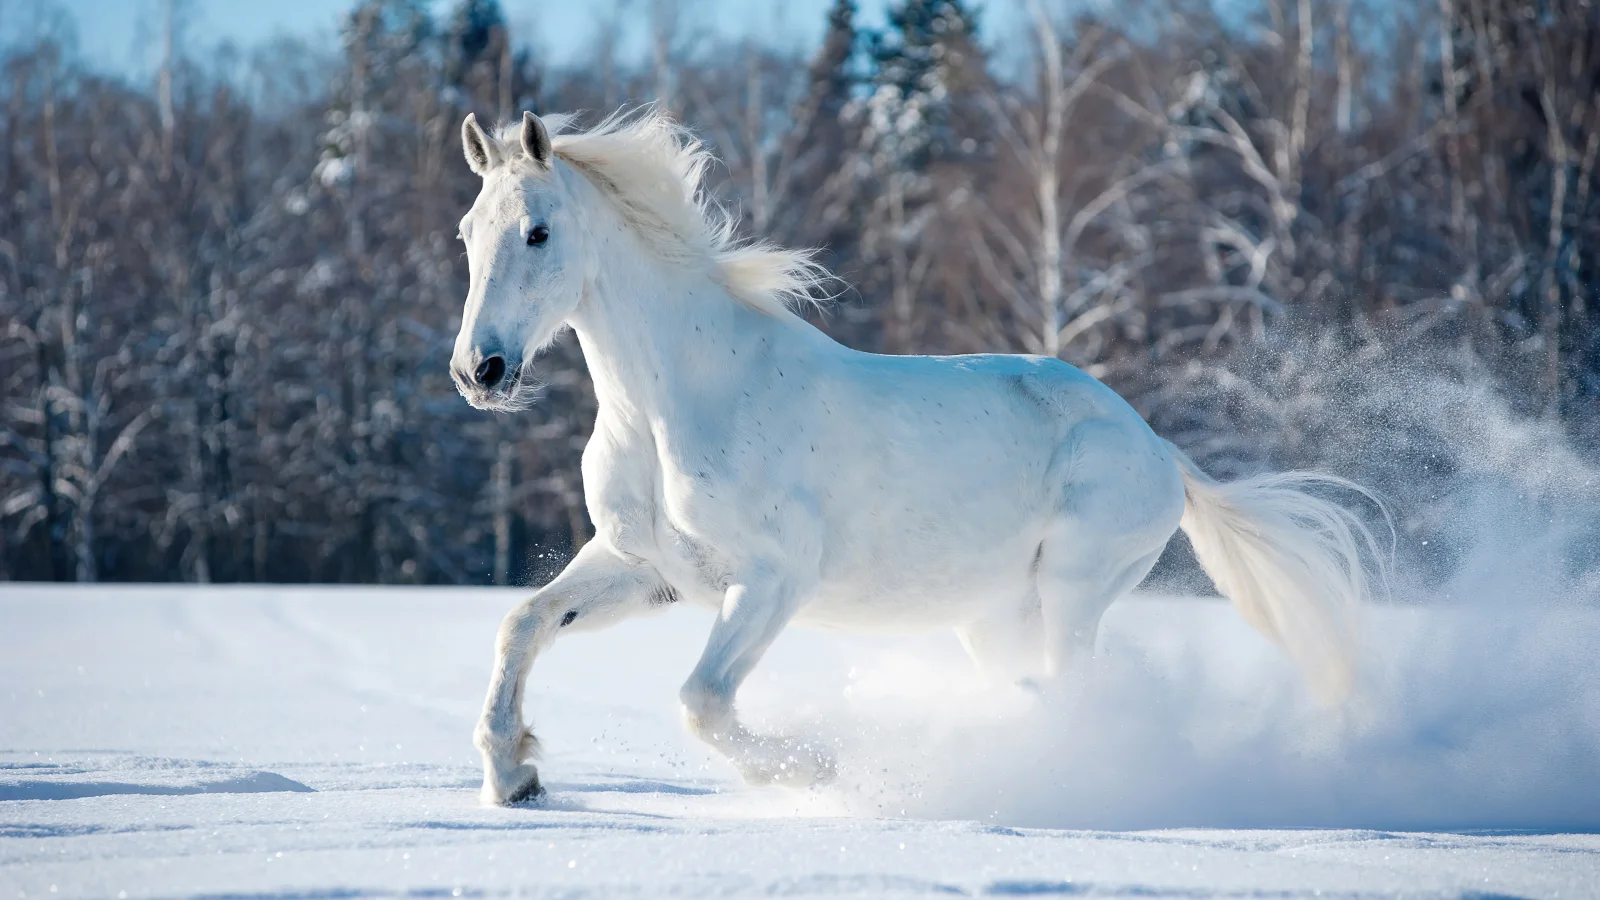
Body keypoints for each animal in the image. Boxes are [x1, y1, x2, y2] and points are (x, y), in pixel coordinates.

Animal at [449, 107, 1385, 806]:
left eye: (537, 232)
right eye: (466, 232)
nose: (479, 371)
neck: (673, 403)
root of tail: (1157, 448)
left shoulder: (774, 578)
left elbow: (703, 702)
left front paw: (816, 768)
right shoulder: (646, 568)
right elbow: (521, 624)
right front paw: (515, 775)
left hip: (1074, 589)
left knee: (1075, 692)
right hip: (994, 617)